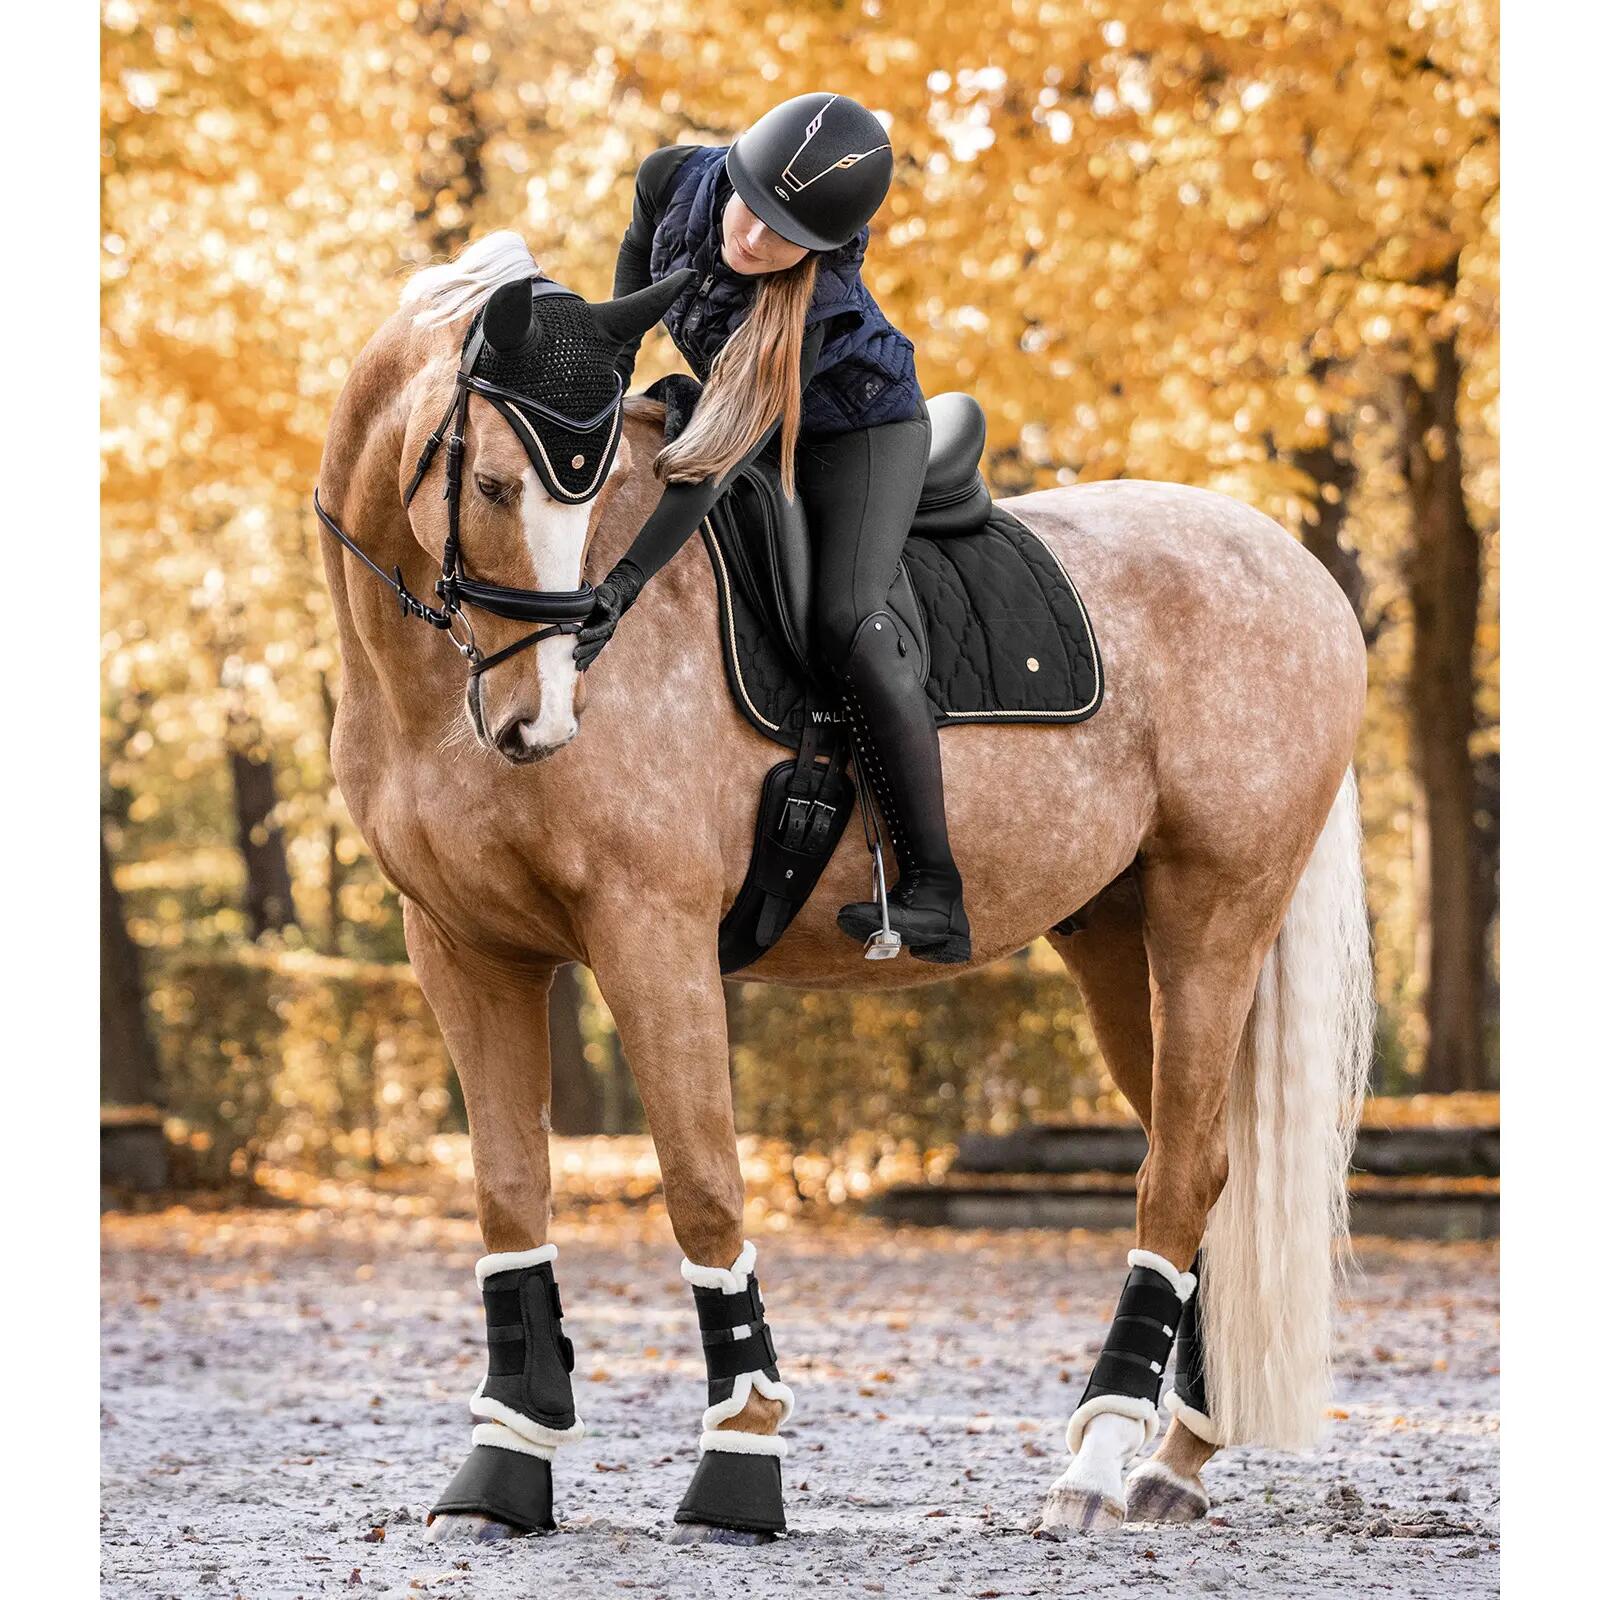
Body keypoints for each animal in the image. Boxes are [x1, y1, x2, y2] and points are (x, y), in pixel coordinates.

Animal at [314, 232, 1372, 1545]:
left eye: (578, 489)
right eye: (500, 487)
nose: (535, 720)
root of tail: (1297, 568)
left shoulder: (648, 934)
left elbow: (703, 1184)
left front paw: (740, 1459)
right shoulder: (462, 948)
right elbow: (510, 1197)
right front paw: (503, 1464)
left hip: (1212, 919)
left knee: (1175, 1173)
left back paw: (1093, 1460)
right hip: (1118, 942)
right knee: (1209, 1169)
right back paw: (1170, 1457)